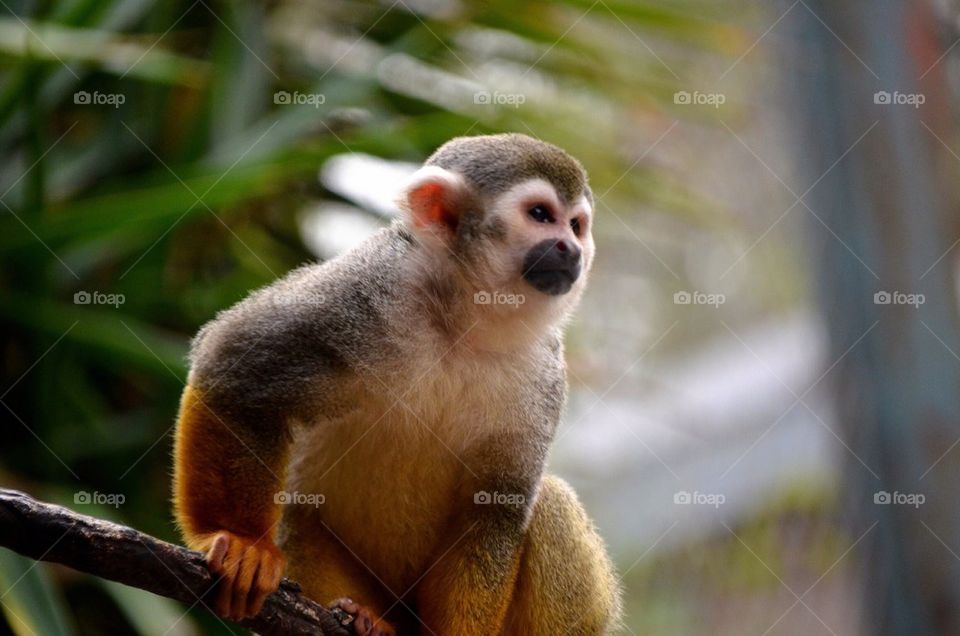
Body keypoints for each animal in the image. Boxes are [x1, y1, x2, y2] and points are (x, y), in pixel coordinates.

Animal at [172, 133, 623, 635]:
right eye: (541, 215)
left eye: (577, 226)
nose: (570, 248)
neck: (461, 319)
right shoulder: (361, 292)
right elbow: (234, 369)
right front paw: (242, 542)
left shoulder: (543, 372)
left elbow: (493, 506)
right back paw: (364, 617)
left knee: (548, 501)